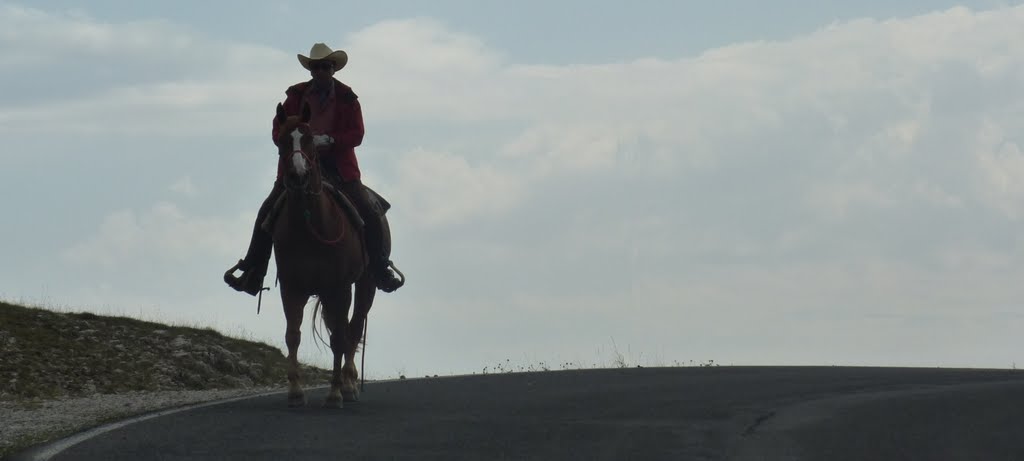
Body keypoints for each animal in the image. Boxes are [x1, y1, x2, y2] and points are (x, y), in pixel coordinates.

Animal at [270, 101, 382, 407]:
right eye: (282, 140)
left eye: (309, 138)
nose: (298, 175)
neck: (310, 226)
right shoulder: (291, 287)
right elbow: (293, 336)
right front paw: (295, 392)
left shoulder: (339, 287)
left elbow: (340, 339)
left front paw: (335, 393)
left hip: (365, 284)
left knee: (353, 328)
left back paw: (350, 384)